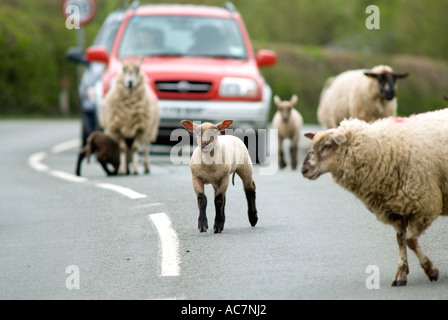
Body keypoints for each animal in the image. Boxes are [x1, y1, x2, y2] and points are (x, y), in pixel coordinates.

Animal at [300, 110, 448, 288]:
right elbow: (400, 240)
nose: (304, 170)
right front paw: (401, 275)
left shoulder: (424, 204)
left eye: (327, 145)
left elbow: (410, 240)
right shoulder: (396, 208)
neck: (382, 149)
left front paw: (431, 270)